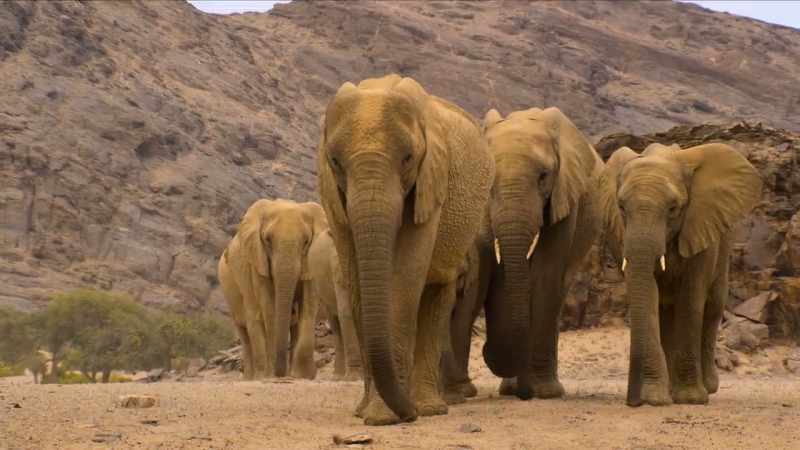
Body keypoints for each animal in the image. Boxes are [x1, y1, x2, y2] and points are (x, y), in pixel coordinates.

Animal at [217, 199, 328, 380]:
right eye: (268, 240)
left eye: (306, 241)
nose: (279, 374)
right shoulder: (257, 260)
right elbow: (269, 307)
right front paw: (270, 375)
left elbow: (308, 306)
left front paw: (303, 375)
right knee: (246, 329)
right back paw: (254, 377)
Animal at [318, 74, 494, 425]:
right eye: (335, 162)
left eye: (408, 158)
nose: (408, 414)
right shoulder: (334, 198)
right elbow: (357, 282)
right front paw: (372, 415)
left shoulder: (431, 182)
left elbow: (405, 279)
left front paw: (388, 416)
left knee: (436, 293)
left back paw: (430, 408)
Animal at [473, 107, 604, 400]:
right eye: (489, 177)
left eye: (543, 176)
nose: (524, 393)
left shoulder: (565, 194)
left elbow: (546, 270)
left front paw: (543, 391)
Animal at [598, 142, 761, 406]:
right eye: (621, 207)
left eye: (673, 209)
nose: (632, 402)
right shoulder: (619, 235)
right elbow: (647, 296)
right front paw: (655, 399)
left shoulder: (701, 225)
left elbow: (691, 298)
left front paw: (691, 399)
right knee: (666, 311)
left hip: (725, 241)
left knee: (713, 306)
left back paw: (707, 387)